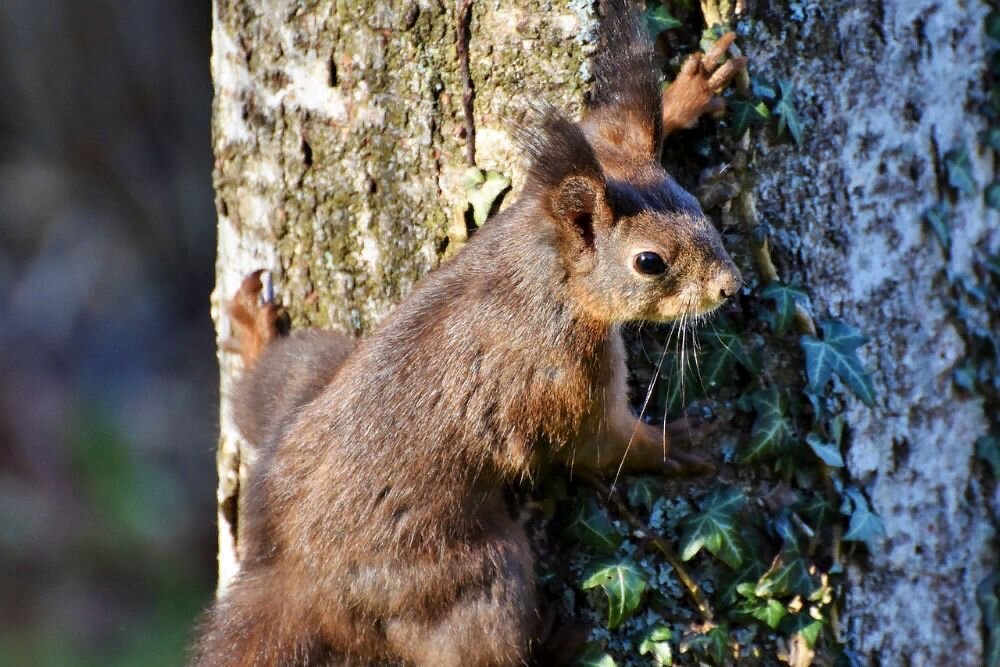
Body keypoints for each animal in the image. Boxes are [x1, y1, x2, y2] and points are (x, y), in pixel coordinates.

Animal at [193, 2, 744, 664]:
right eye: (649, 262)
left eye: (699, 209)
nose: (731, 286)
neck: (542, 268)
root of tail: (299, 578)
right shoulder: (564, 380)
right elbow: (602, 446)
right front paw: (678, 445)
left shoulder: (538, 192)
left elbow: (604, 131)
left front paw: (686, 94)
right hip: (474, 571)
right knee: (483, 642)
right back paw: (558, 641)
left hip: (312, 370)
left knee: (257, 397)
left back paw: (253, 334)